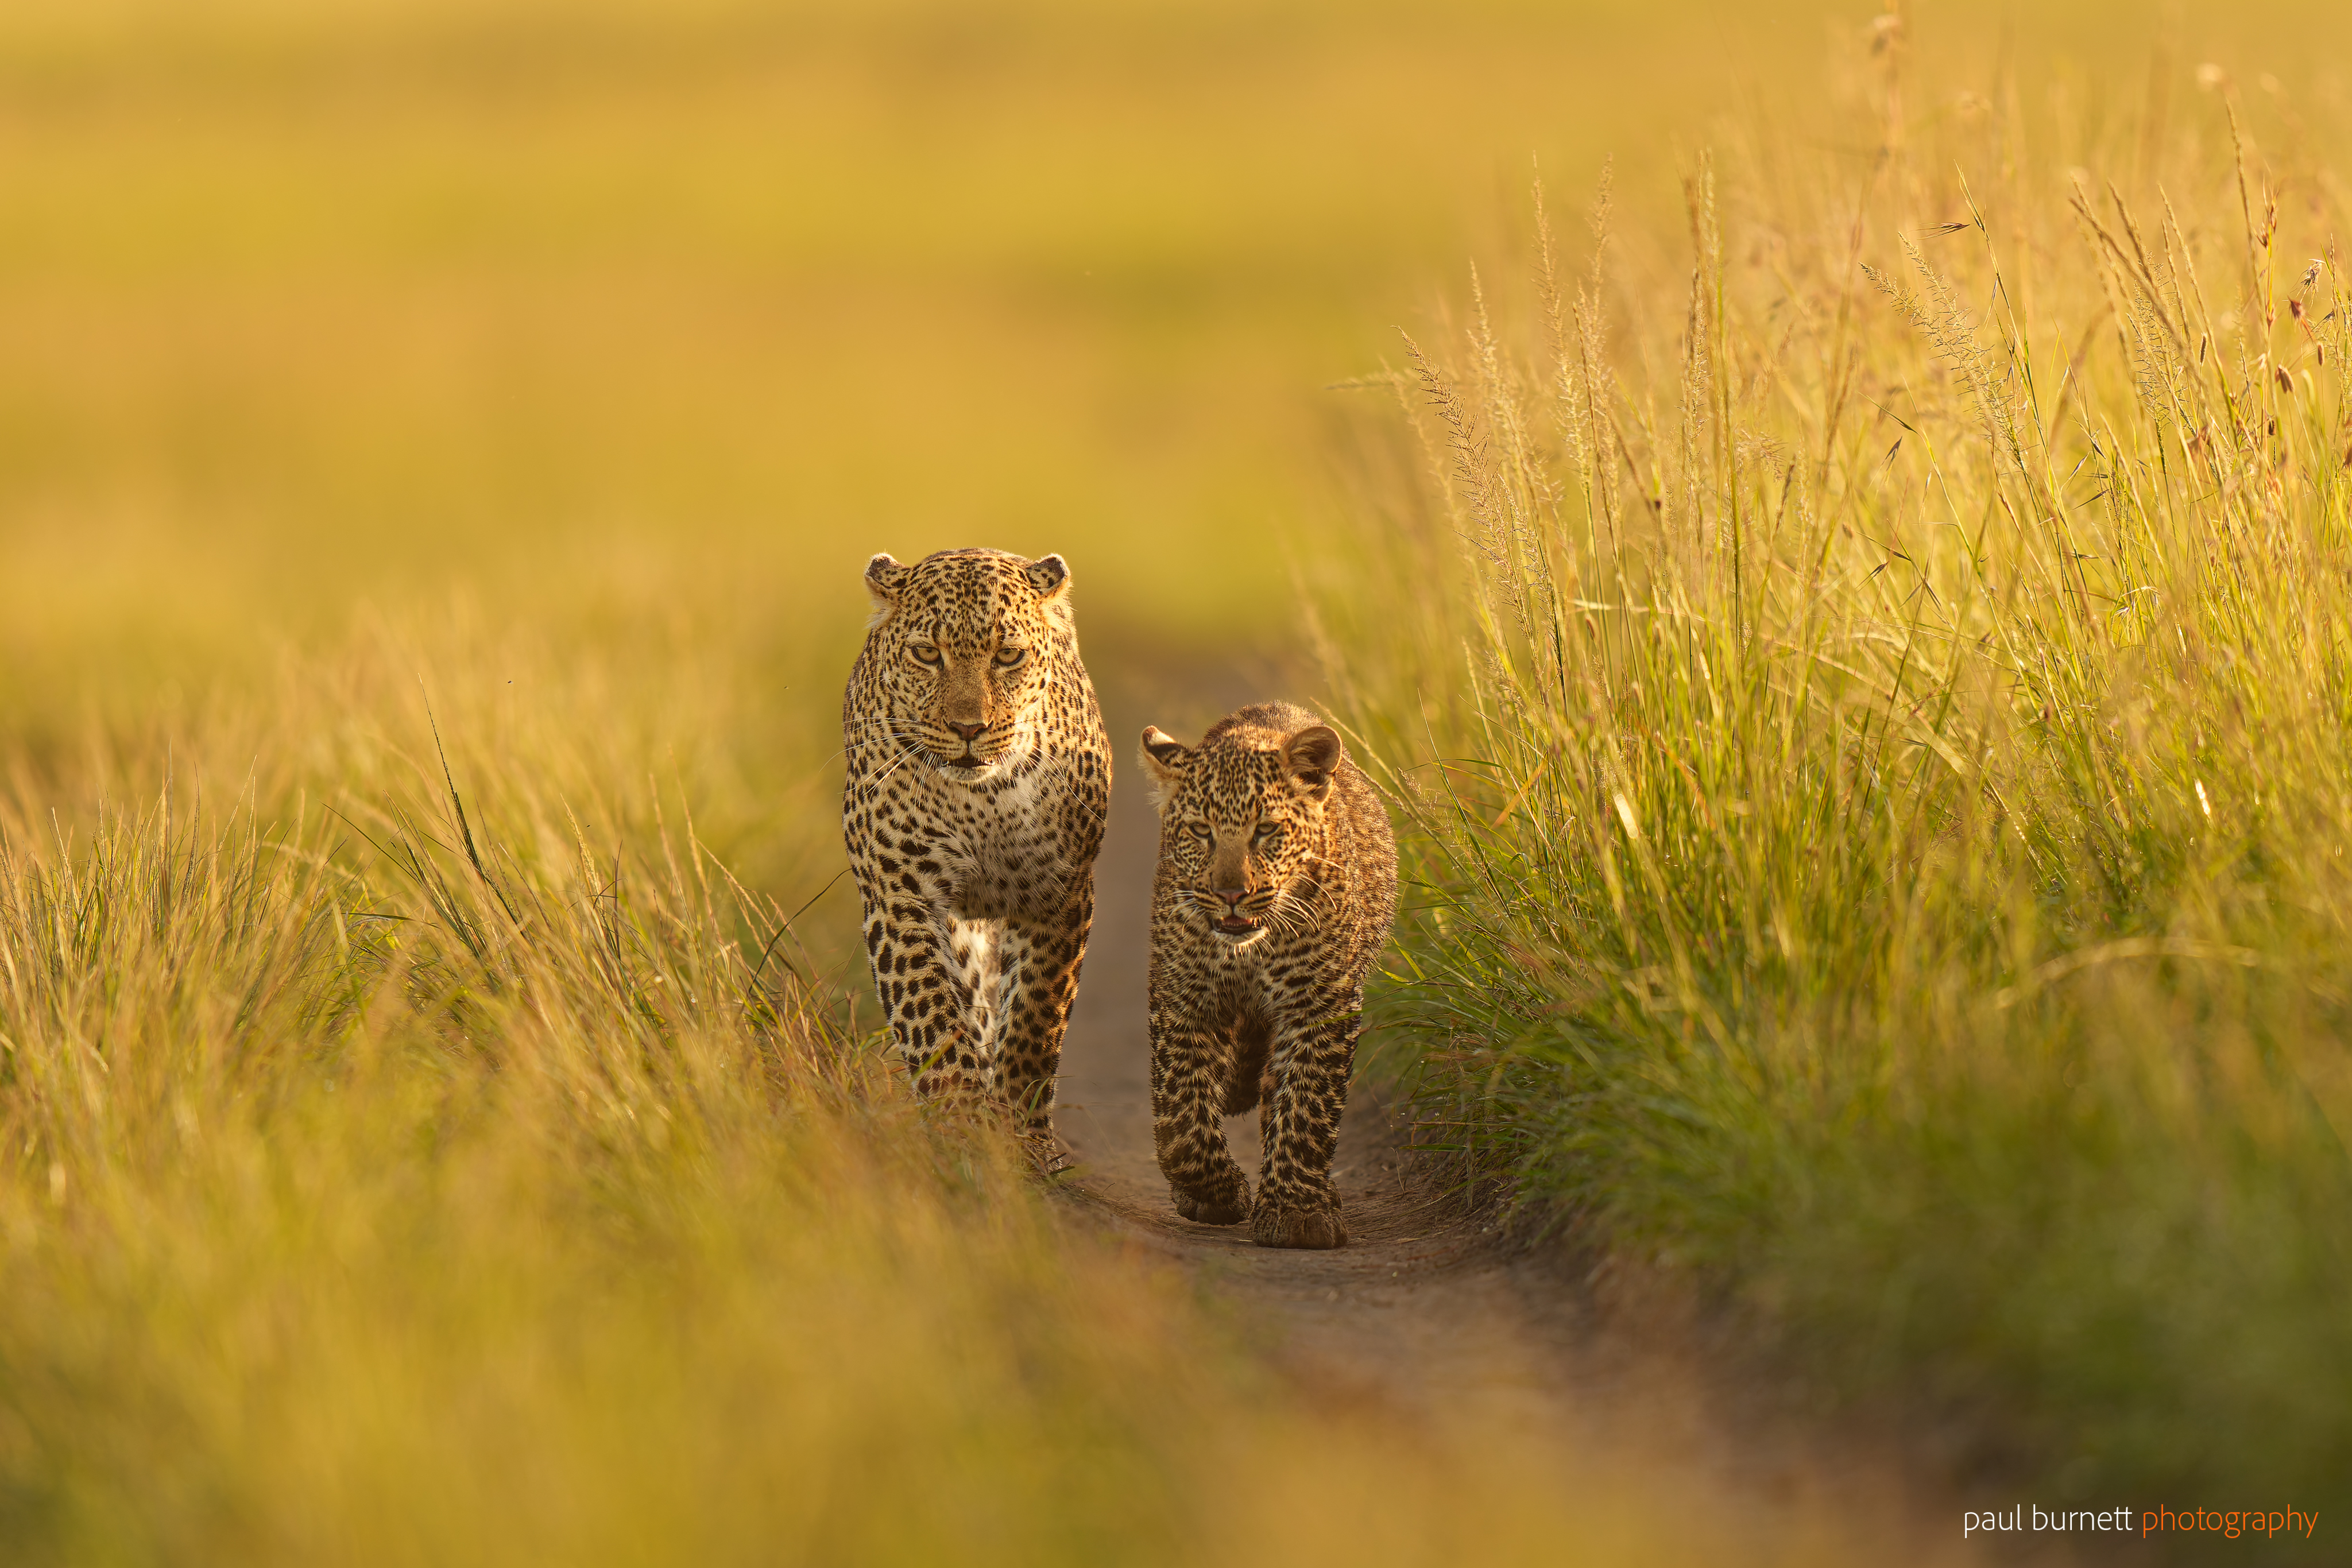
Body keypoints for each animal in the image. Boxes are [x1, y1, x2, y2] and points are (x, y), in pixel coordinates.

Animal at [841, 547, 1111, 1147]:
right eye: (927, 654)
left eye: (1007, 656)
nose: (969, 728)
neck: (982, 800)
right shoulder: (901, 899)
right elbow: (932, 1015)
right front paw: (963, 1124)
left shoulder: (1059, 896)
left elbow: (1035, 1020)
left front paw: (1021, 1134)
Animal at [1138, 701, 1397, 1249]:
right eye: (1201, 831)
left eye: (1266, 829)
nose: (1232, 893)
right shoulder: (1185, 998)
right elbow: (1179, 1111)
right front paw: (1216, 1193)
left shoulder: (1320, 1005)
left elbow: (1306, 1101)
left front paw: (1298, 1212)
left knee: (1278, 1088)